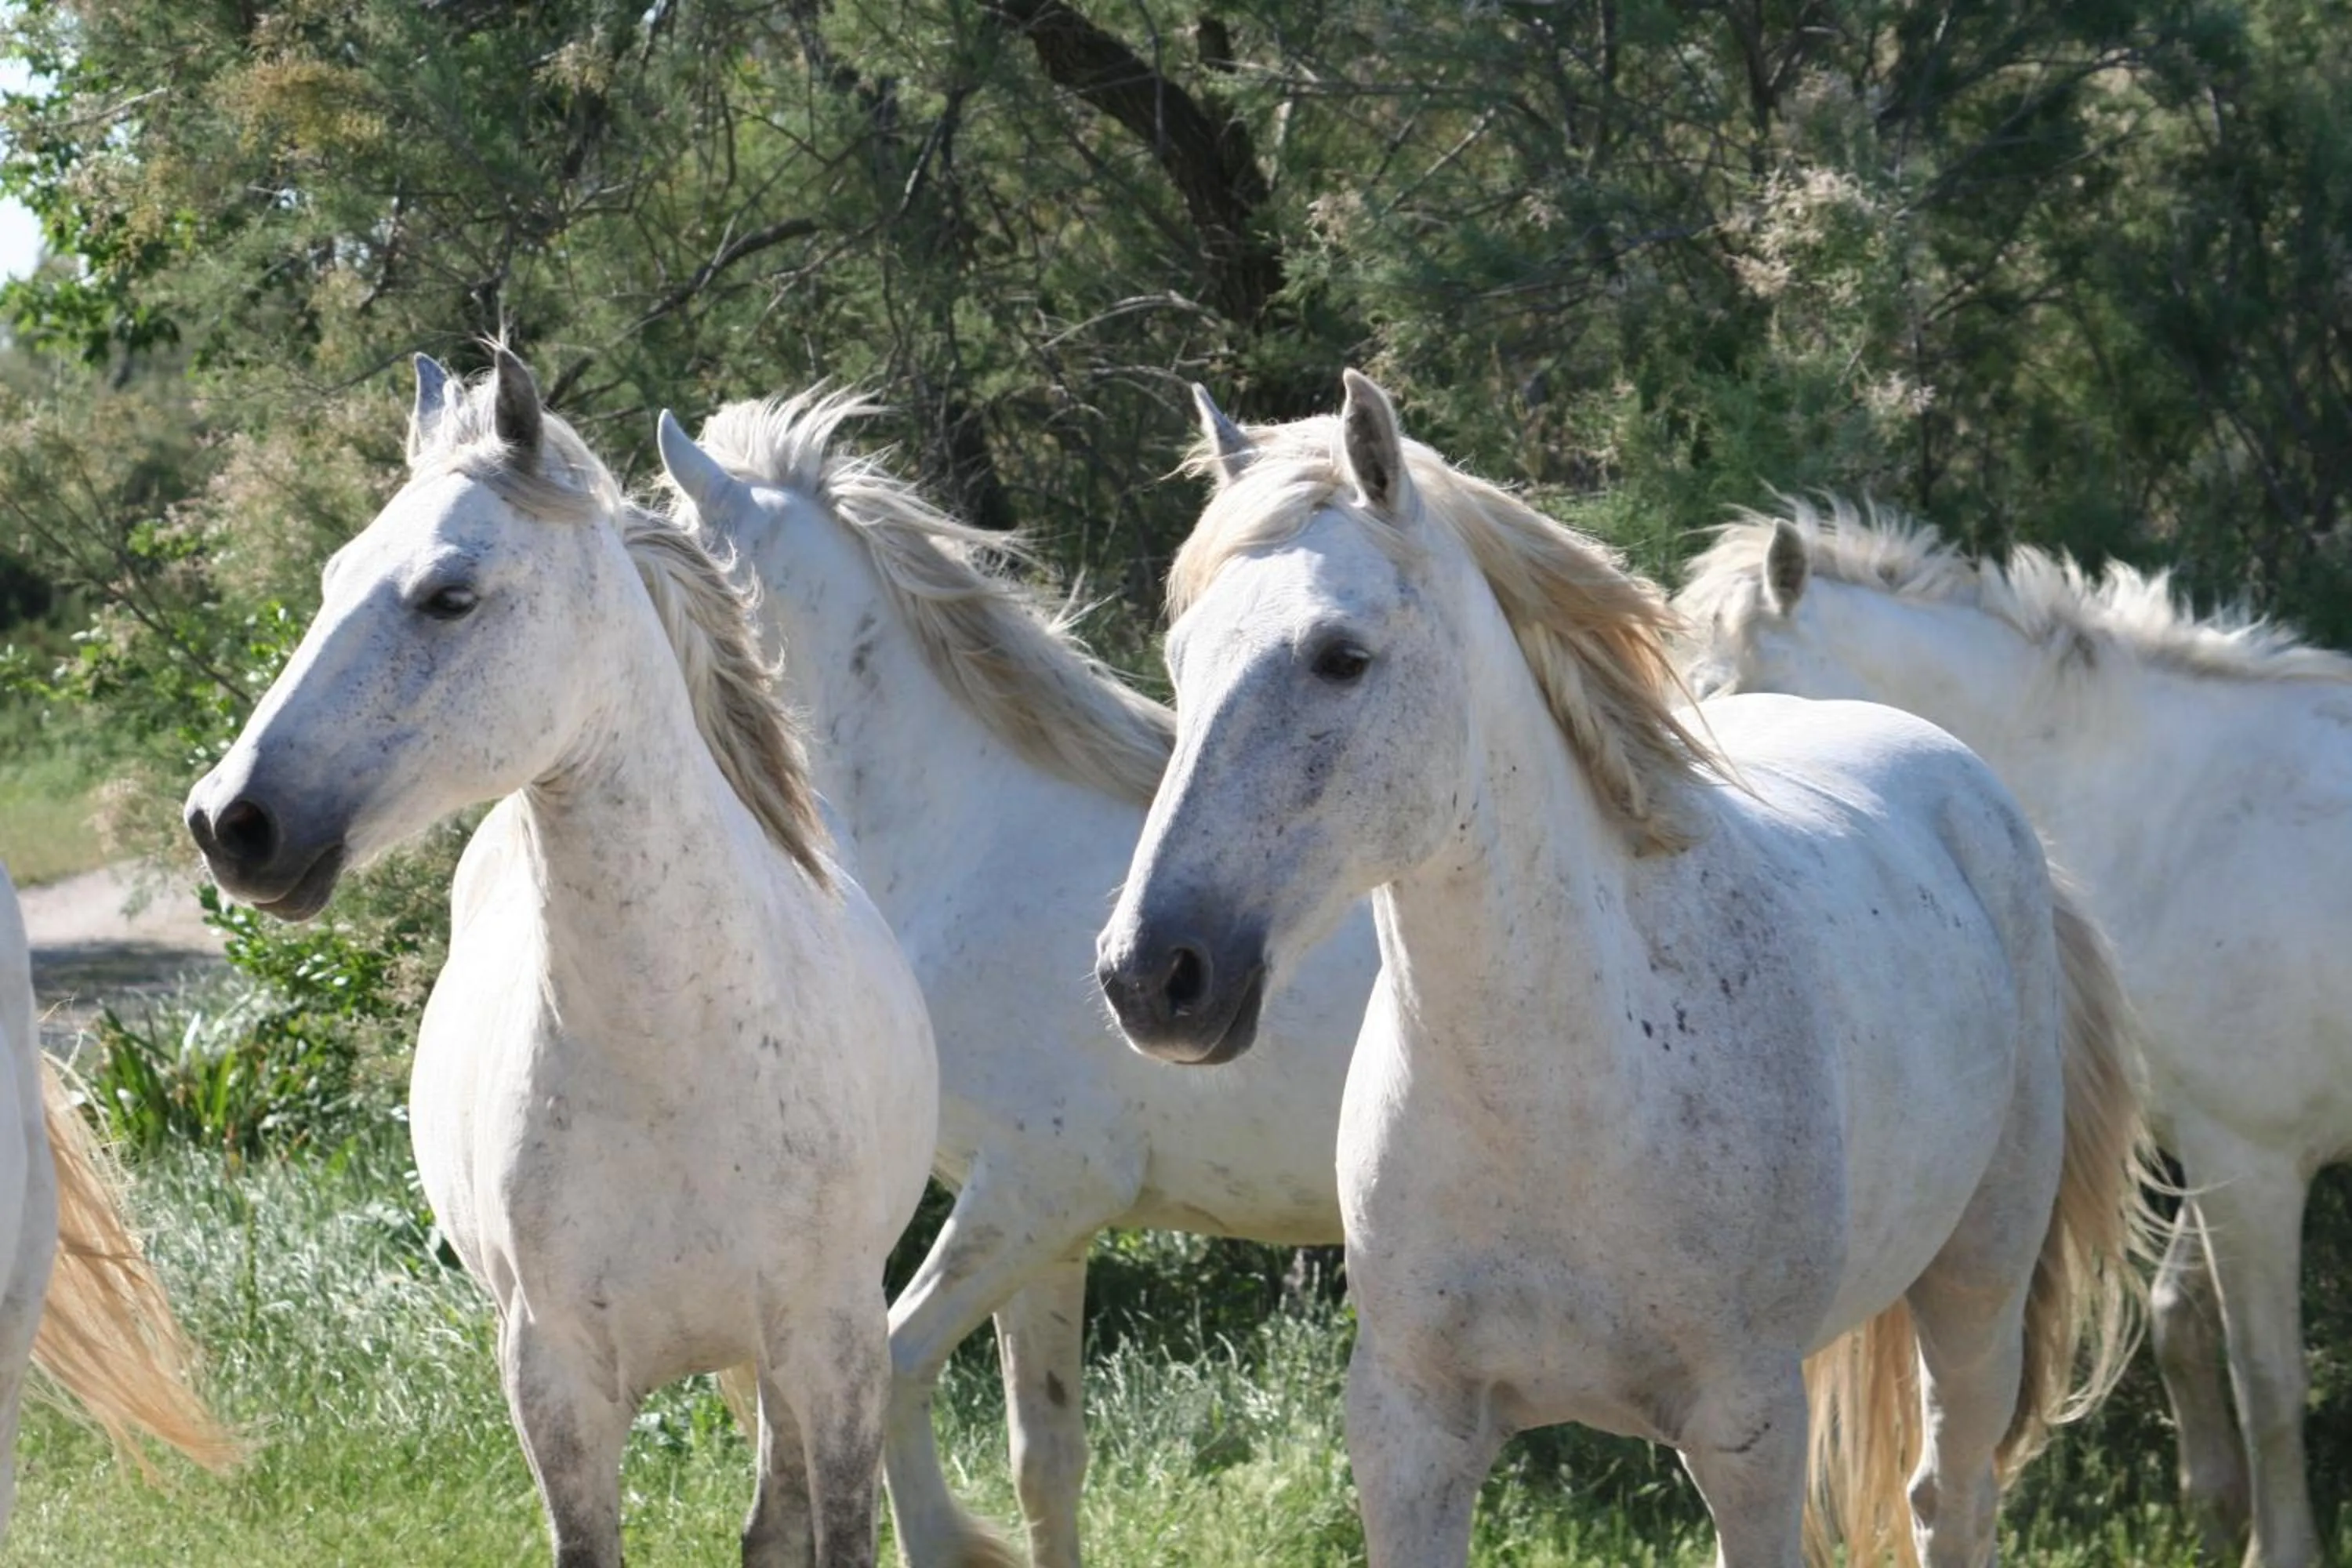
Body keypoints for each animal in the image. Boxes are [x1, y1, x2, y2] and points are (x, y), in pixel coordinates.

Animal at [183, 352, 938, 1568]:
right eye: (333, 577)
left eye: (449, 595)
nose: (229, 821)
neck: (679, 1062)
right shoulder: (558, 1390)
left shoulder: (836, 1351)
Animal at [1094, 372, 2153, 1568]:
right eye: (1182, 660)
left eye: (1340, 656)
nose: (1152, 974)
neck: (1569, 1091)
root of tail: (1982, 798)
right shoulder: (1410, 1436)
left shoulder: (1749, 1435)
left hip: (1976, 1291)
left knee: (1951, 1498)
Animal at [1679, 501, 2352, 1566]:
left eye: (1715, 691)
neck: (2182, 814)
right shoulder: (2217, 1156)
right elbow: (2182, 1320)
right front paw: (2215, 1505)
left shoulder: (2258, 1162)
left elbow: (2270, 1378)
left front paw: (2278, 1545)